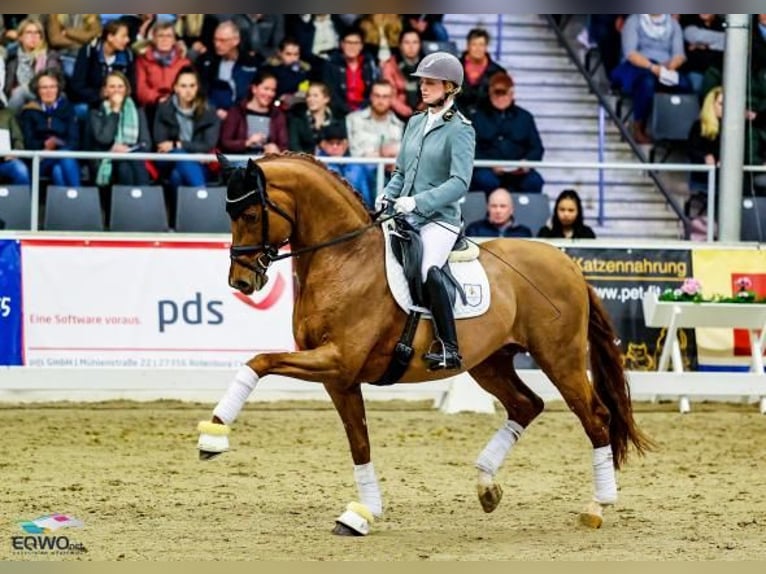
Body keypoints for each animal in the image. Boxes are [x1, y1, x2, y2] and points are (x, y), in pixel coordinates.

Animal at [198, 152, 656, 536]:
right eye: (229, 213)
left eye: (250, 213)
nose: (242, 282)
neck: (345, 260)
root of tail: (568, 263)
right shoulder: (339, 378)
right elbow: (359, 442)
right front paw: (362, 514)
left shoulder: (337, 361)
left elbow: (258, 362)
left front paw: (213, 438)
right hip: (490, 362)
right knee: (527, 405)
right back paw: (487, 486)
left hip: (559, 358)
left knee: (595, 416)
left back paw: (597, 505)